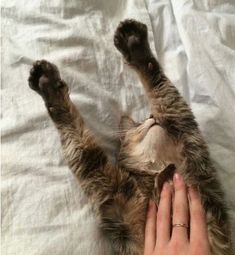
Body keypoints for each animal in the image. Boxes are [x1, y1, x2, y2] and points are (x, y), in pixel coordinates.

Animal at [28, 18, 232, 254]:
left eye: (148, 117)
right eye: (140, 122)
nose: (152, 116)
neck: (159, 170)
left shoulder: (190, 142)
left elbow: (157, 80)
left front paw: (134, 44)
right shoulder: (111, 192)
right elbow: (78, 137)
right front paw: (48, 84)